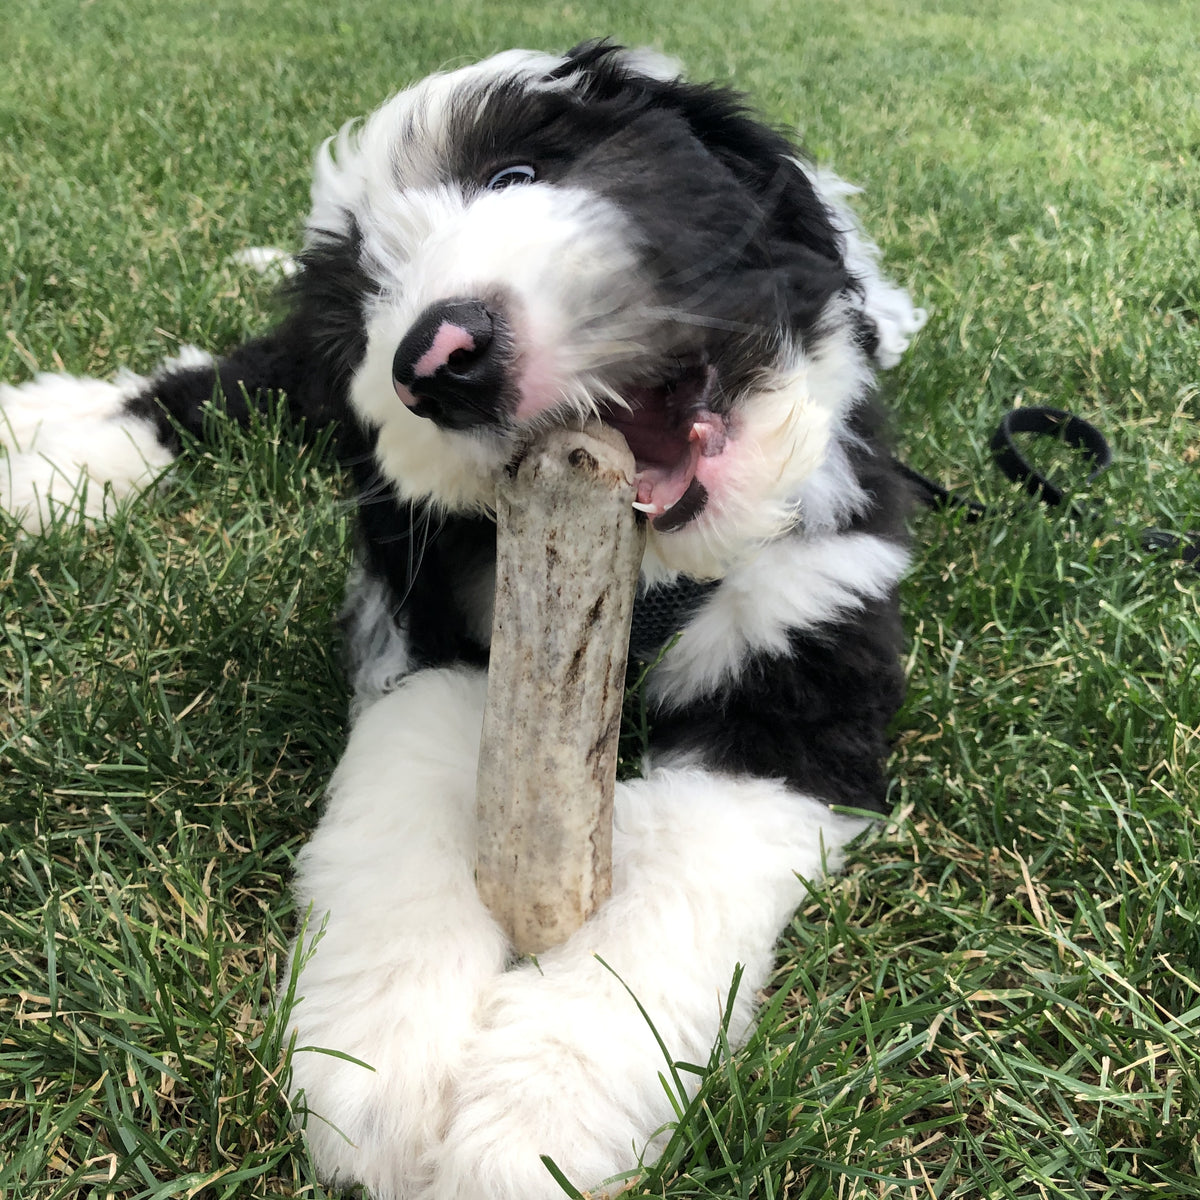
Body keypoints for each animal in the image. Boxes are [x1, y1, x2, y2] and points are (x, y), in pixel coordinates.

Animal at [0, 39, 926, 1200]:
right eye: (370, 304)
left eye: (516, 175)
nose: (437, 359)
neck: (661, 578)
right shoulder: (428, 623)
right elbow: (401, 793)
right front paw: (385, 1067)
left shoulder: (807, 673)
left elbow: (682, 868)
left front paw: (543, 1104)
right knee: (223, 383)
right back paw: (53, 456)